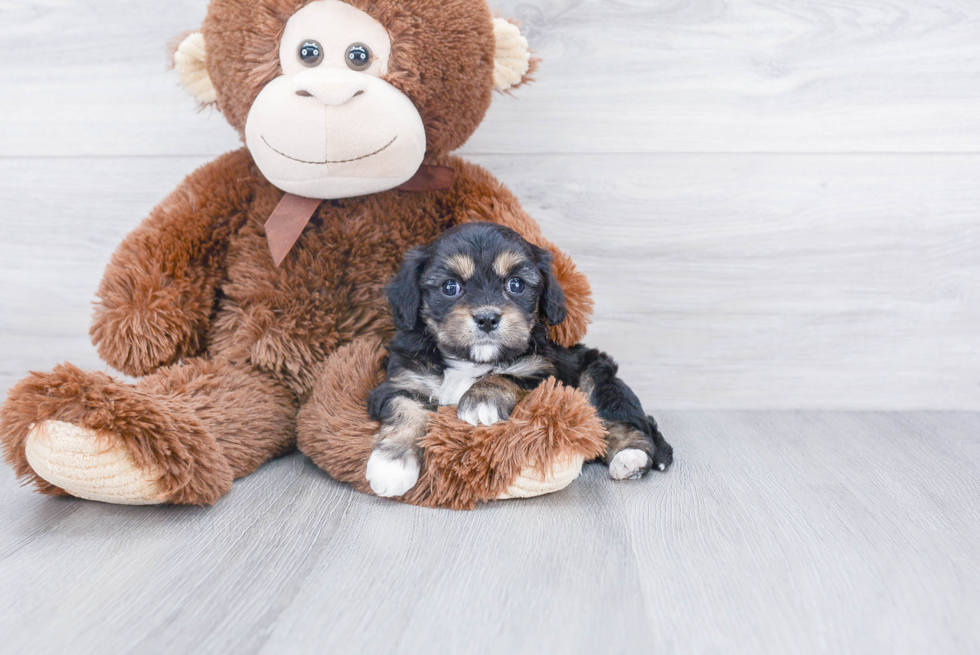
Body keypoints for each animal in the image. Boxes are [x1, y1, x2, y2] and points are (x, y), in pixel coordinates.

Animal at [368, 223, 672, 500]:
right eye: (450, 287)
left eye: (516, 284)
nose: (487, 318)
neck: (469, 361)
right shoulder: (403, 379)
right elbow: (406, 409)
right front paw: (391, 465)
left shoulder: (545, 374)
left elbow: (507, 376)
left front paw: (481, 400)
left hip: (596, 376)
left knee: (626, 422)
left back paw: (630, 456)